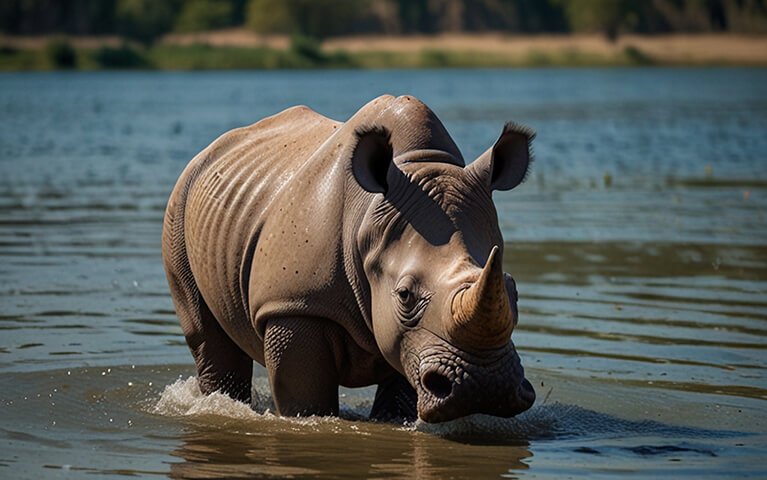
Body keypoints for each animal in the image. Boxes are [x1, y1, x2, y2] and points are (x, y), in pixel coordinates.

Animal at [162, 94, 536, 423]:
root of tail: (212, 149)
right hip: (179, 202)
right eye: (405, 295)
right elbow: (305, 400)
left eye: (513, 290)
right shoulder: (294, 304)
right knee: (207, 337)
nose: (486, 388)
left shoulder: (413, 343)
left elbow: (401, 390)